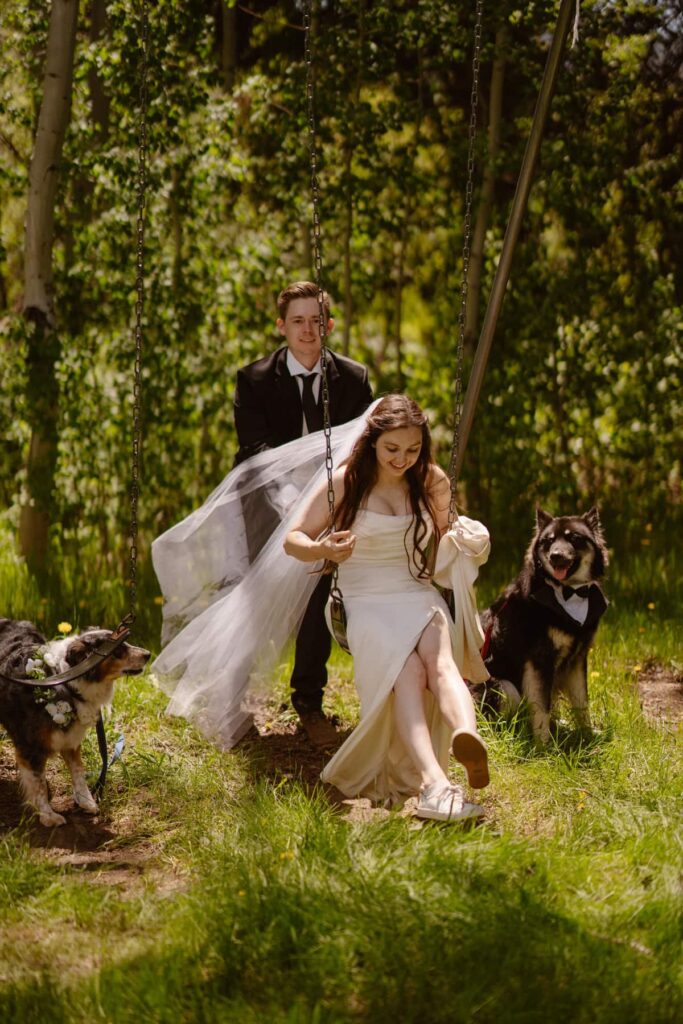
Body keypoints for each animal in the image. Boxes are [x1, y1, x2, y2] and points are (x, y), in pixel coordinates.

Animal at [481, 509, 610, 745]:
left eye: (574, 537)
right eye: (548, 541)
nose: (555, 555)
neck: (568, 593)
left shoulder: (577, 659)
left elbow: (582, 703)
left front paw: (587, 736)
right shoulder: (539, 662)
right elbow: (542, 707)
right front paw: (544, 745)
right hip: (505, 687)